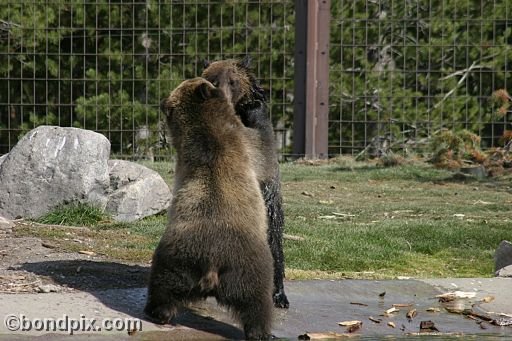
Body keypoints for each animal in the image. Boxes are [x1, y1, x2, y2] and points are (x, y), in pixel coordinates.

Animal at [144, 77, 274, 340]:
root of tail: (212, 264)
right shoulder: (245, 145)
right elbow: (263, 146)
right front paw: (256, 108)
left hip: (193, 262)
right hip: (238, 263)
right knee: (257, 303)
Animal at [202, 56, 290, 308]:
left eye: (233, 81)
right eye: (213, 79)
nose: (221, 95)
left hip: (268, 209)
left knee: (274, 245)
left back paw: (278, 294)